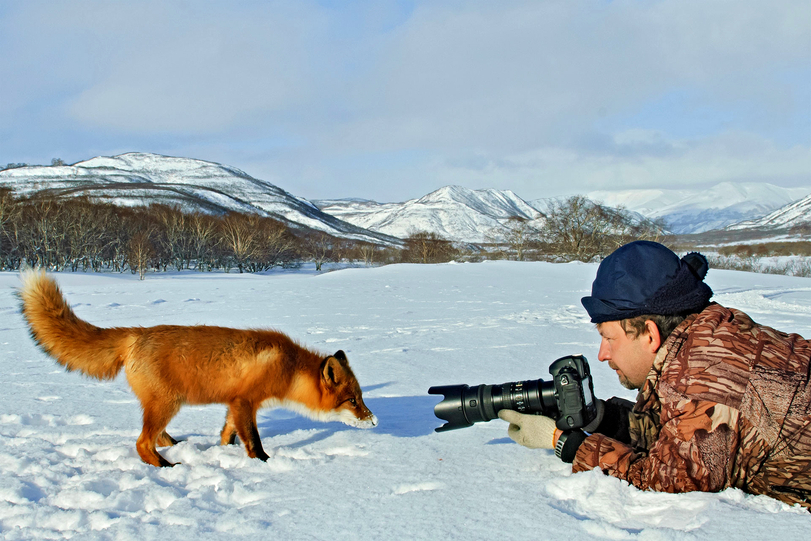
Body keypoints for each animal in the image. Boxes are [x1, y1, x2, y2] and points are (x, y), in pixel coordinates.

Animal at [18, 272, 380, 466]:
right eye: (352, 401)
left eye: (361, 398)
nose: (375, 420)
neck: (288, 368)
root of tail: (136, 333)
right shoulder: (245, 402)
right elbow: (254, 441)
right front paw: (264, 464)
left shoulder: (234, 404)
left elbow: (227, 434)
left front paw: (223, 453)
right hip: (168, 403)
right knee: (142, 443)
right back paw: (166, 467)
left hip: (163, 405)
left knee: (155, 436)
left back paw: (175, 448)